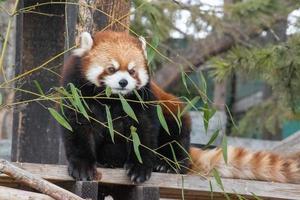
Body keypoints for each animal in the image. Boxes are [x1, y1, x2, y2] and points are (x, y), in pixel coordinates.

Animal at [61, 30, 300, 184]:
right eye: (111, 69)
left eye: (132, 71)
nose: (123, 83)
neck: (111, 100)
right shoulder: (76, 94)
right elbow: (78, 131)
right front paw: (83, 166)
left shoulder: (144, 101)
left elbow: (145, 132)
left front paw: (140, 167)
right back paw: (109, 162)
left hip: (175, 118)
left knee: (175, 134)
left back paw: (167, 164)